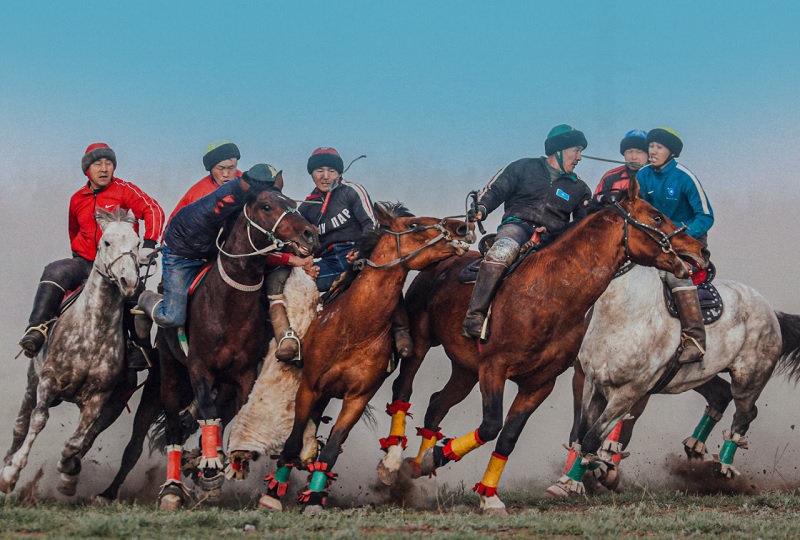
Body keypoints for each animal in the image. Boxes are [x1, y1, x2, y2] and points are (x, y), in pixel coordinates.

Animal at [0, 208, 140, 498]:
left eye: (137, 243)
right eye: (106, 242)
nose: (129, 282)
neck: (93, 330)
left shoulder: (99, 398)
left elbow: (77, 441)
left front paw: (67, 475)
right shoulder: (48, 382)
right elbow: (38, 420)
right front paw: (12, 472)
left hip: (115, 405)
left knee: (89, 437)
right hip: (32, 383)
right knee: (20, 425)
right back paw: (7, 467)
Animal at [155, 182, 320, 510]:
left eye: (291, 202)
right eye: (267, 206)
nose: (310, 234)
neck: (227, 303)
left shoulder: (243, 372)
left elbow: (236, 407)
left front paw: (228, 458)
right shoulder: (198, 367)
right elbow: (207, 408)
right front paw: (209, 467)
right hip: (170, 370)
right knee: (174, 426)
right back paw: (173, 488)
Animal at [258, 200, 476, 512]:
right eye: (413, 225)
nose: (461, 227)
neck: (353, 326)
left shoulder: (358, 398)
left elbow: (333, 448)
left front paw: (315, 498)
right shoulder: (309, 386)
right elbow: (292, 439)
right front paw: (273, 493)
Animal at [376, 180, 708, 516]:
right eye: (656, 216)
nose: (700, 250)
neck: (549, 294)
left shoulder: (538, 385)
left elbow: (507, 438)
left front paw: (488, 495)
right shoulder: (494, 368)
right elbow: (491, 425)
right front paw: (438, 461)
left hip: (466, 371)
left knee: (437, 404)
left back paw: (418, 463)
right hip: (420, 345)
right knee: (403, 389)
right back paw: (392, 463)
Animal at [544, 264, 800, 496]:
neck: (624, 315)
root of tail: (770, 312)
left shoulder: (631, 391)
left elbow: (598, 436)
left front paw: (590, 477)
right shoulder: (590, 381)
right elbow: (581, 433)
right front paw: (574, 479)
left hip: (749, 379)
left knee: (746, 413)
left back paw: (721, 467)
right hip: (700, 376)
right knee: (721, 395)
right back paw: (695, 449)